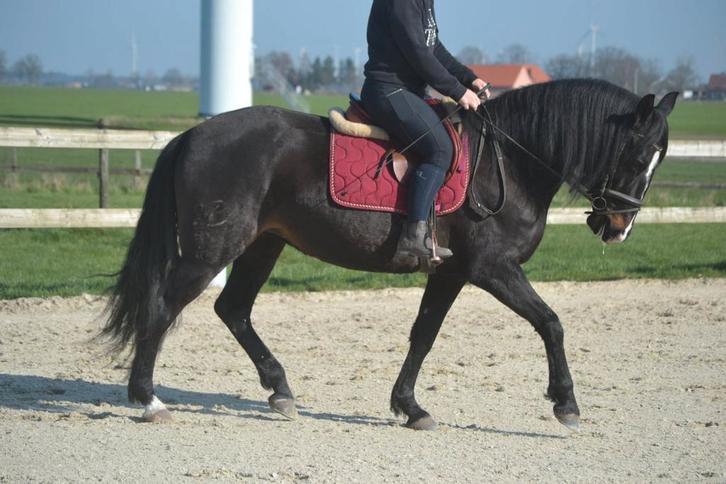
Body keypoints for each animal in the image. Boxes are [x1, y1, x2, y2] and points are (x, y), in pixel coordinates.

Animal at [102, 79, 678, 431]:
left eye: (659, 159)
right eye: (637, 155)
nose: (618, 227)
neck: (509, 162)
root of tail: (193, 135)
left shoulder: (451, 272)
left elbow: (424, 334)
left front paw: (409, 406)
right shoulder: (492, 269)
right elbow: (551, 323)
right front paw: (566, 403)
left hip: (262, 243)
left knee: (233, 309)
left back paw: (280, 389)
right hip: (212, 251)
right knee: (163, 308)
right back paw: (147, 398)